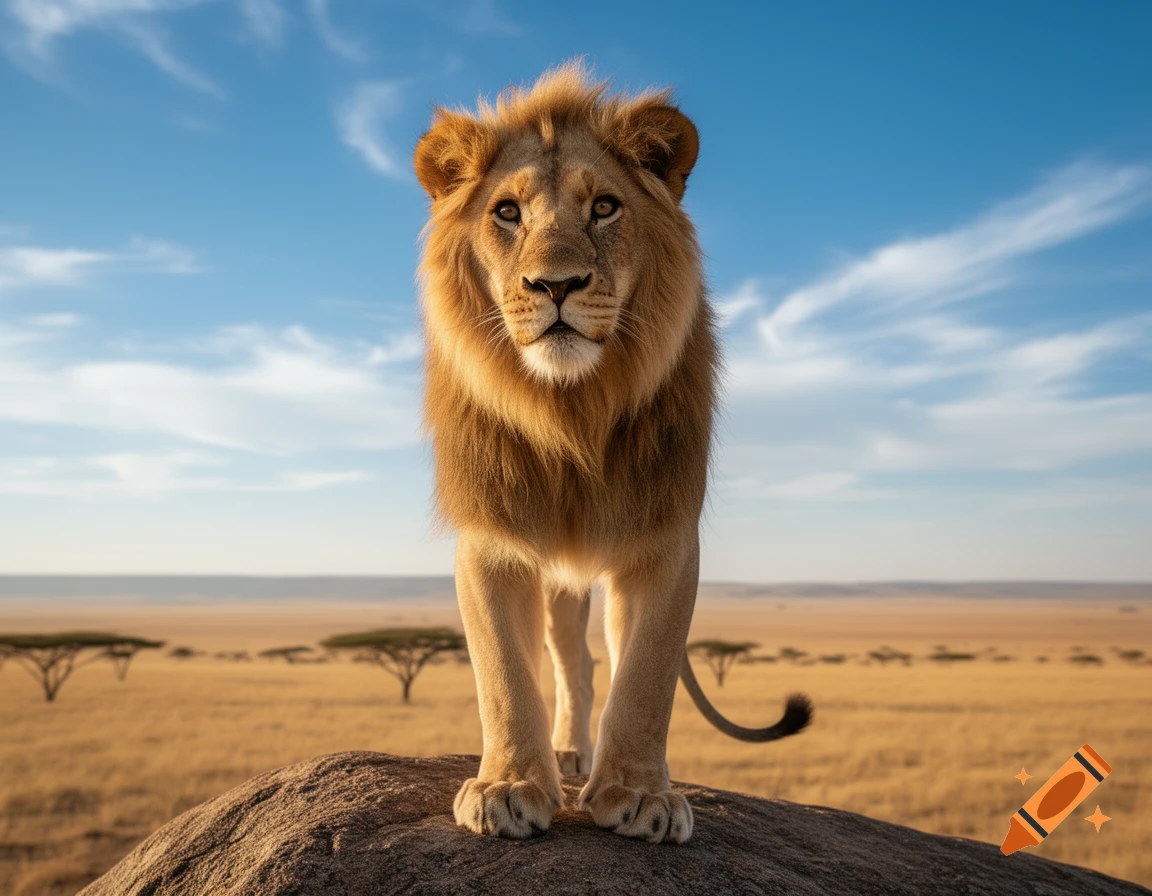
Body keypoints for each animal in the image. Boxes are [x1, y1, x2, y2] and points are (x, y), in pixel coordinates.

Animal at [413, 63, 811, 844]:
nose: (556, 285)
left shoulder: (664, 536)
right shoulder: (491, 536)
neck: (573, 408)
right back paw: (566, 752)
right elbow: (504, 673)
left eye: (603, 207)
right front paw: (509, 786)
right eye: (507, 212)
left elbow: (647, 674)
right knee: (573, 660)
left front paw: (639, 794)